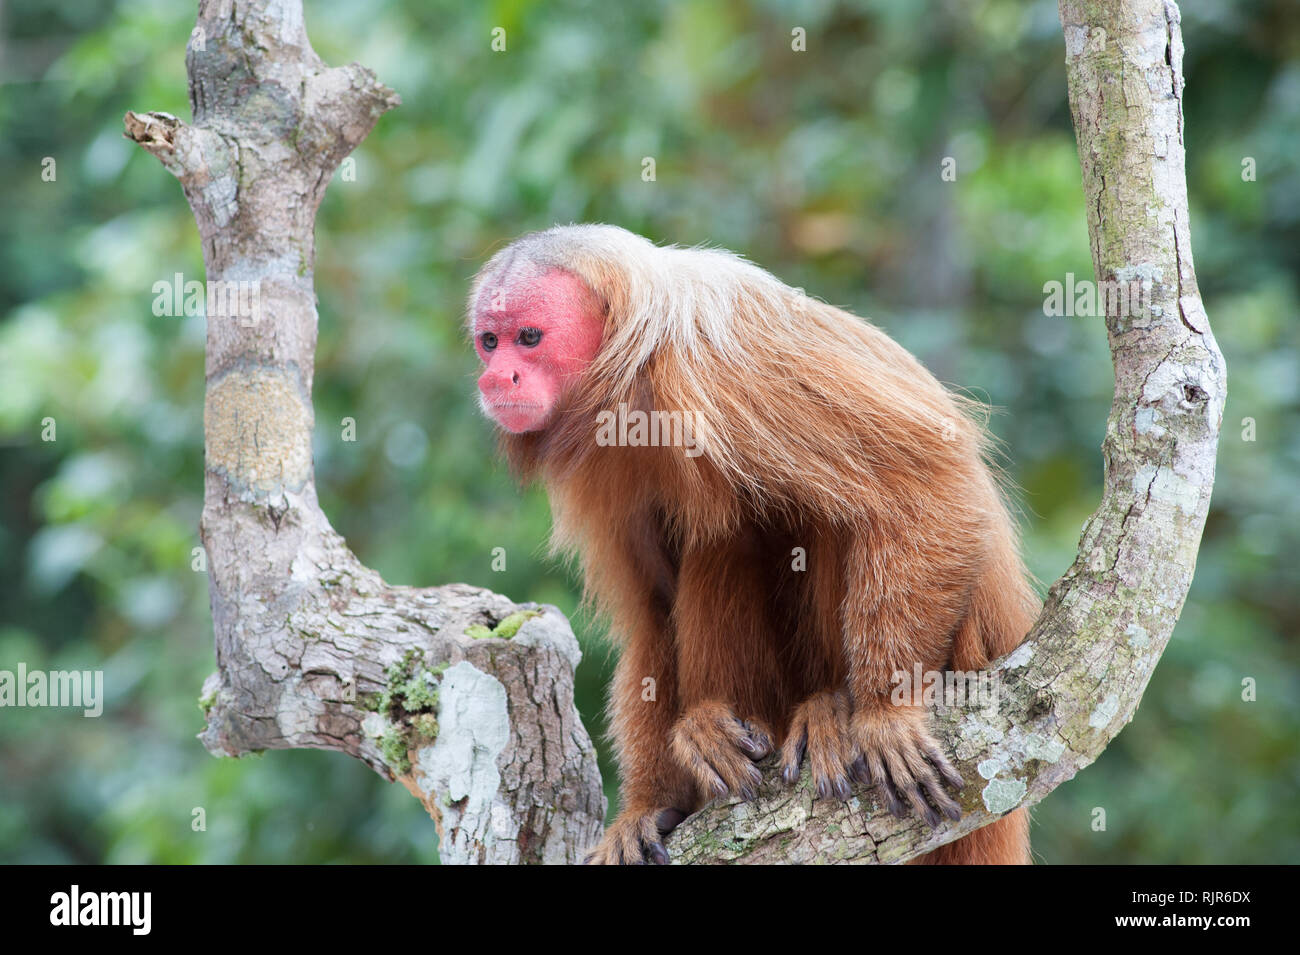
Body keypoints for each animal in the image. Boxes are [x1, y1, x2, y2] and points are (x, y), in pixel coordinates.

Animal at [467, 223, 1034, 867]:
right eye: (491, 341)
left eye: (529, 338)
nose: (497, 377)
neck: (630, 375)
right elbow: (653, 609)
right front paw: (651, 806)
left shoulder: (722, 368)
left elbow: (926, 478)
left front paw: (887, 712)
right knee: (724, 540)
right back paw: (717, 727)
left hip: (966, 648)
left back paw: (832, 706)